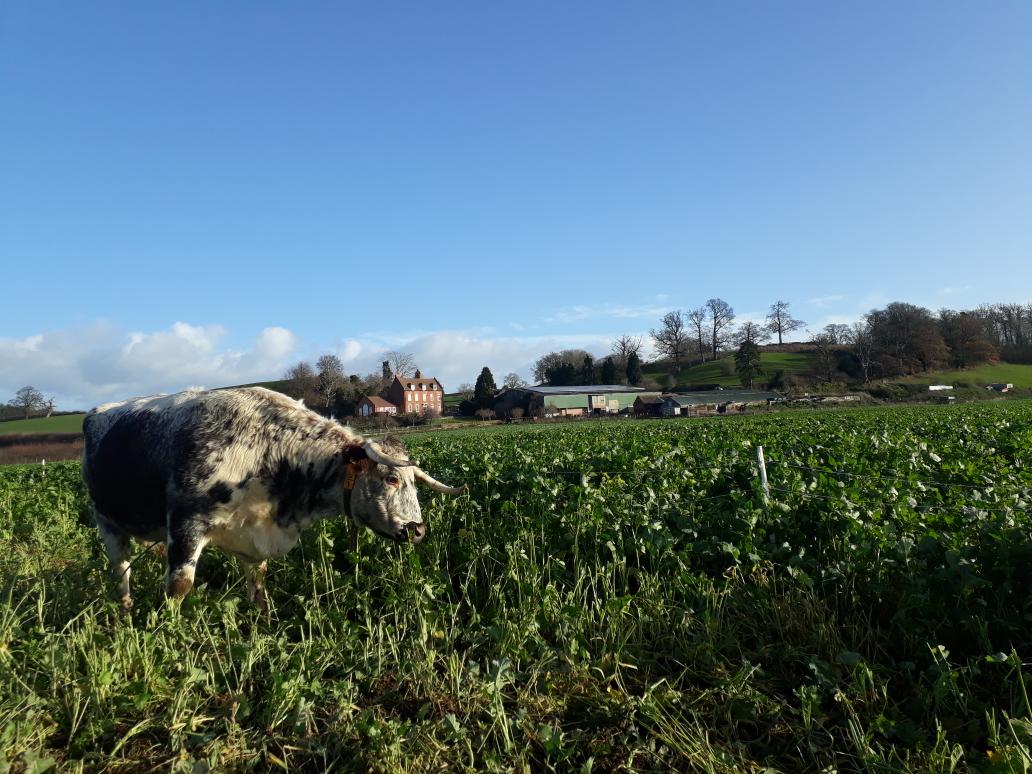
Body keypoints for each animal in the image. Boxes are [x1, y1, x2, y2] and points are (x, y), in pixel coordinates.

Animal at [81, 387, 463, 609]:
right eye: (391, 478)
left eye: (414, 482)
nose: (417, 530)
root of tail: (98, 411)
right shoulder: (185, 525)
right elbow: (178, 587)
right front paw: (168, 631)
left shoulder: (252, 535)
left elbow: (258, 584)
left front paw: (260, 622)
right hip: (106, 521)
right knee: (121, 567)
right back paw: (127, 609)